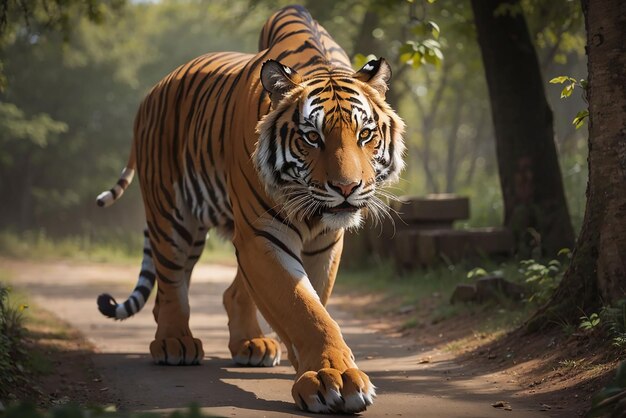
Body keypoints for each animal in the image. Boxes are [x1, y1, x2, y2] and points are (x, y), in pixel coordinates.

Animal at [94, 4, 402, 414]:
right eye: (312, 137)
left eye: (365, 135)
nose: (347, 188)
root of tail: (151, 93)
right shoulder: (261, 234)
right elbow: (304, 309)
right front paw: (330, 379)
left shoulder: (323, 241)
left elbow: (313, 302)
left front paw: (317, 366)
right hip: (174, 217)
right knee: (171, 282)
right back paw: (174, 342)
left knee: (222, 290)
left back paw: (251, 345)